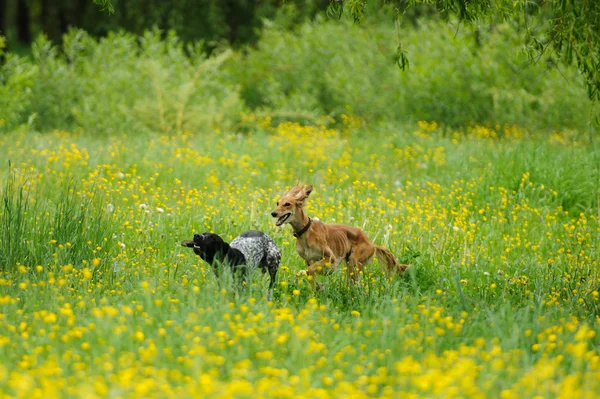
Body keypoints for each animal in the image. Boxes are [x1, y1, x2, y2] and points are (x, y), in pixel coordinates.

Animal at [270, 186, 408, 282]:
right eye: (277, 203)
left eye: (287, 204)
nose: (273, 213)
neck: (306, 232)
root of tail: (372, 244)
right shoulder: (308, 260)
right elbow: (311, 274)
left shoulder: (330, 257)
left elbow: (310, 270)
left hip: (354, 263)